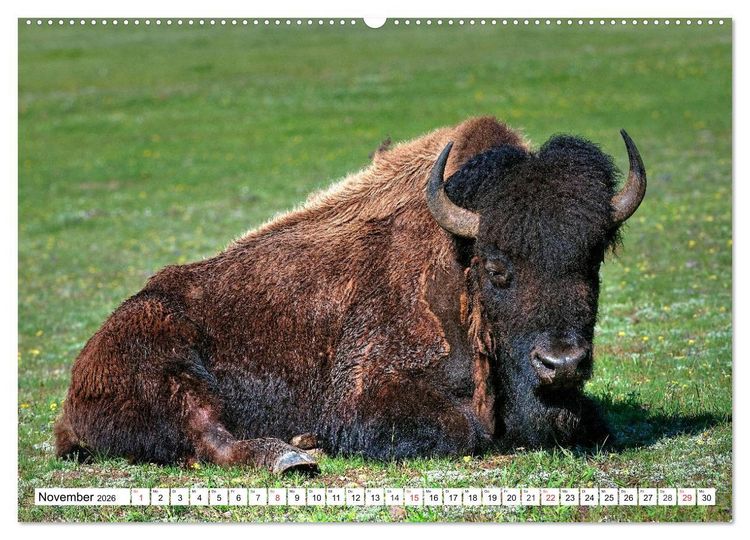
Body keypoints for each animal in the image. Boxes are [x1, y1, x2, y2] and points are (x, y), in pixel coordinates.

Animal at [55, 117, 646, 473]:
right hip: (167, 369)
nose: (561, 363)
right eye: (497, 268)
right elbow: (464, 428)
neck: (459, 258)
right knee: (208, 434)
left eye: (592, 260)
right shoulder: (367, 397)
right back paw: (294, 455)